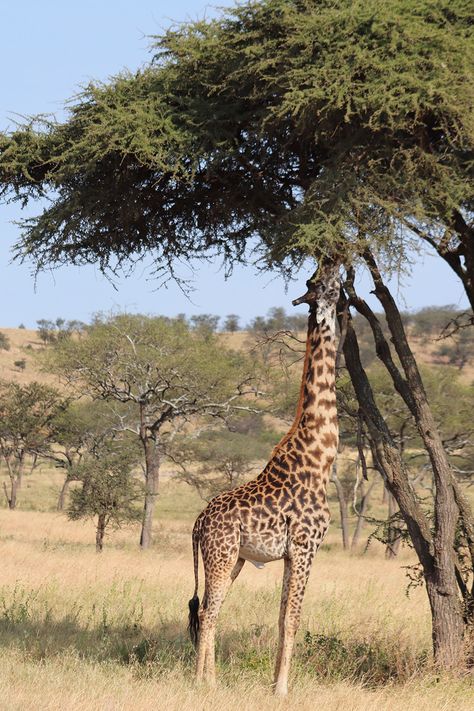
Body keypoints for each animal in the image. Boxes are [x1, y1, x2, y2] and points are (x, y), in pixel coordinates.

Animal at [187, 262, 338, 696]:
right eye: (325, 283)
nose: (338, 265)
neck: (321, 457)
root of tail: (198, 523)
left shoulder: (291, 553)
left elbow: (282, 616)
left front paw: (275, 682)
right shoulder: (306, 547)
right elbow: (293, 619)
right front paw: (283, 689)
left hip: (233, 558)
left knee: (211, 608)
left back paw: (212, 680)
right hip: (221, 556)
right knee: (207, 611)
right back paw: (203, 683)